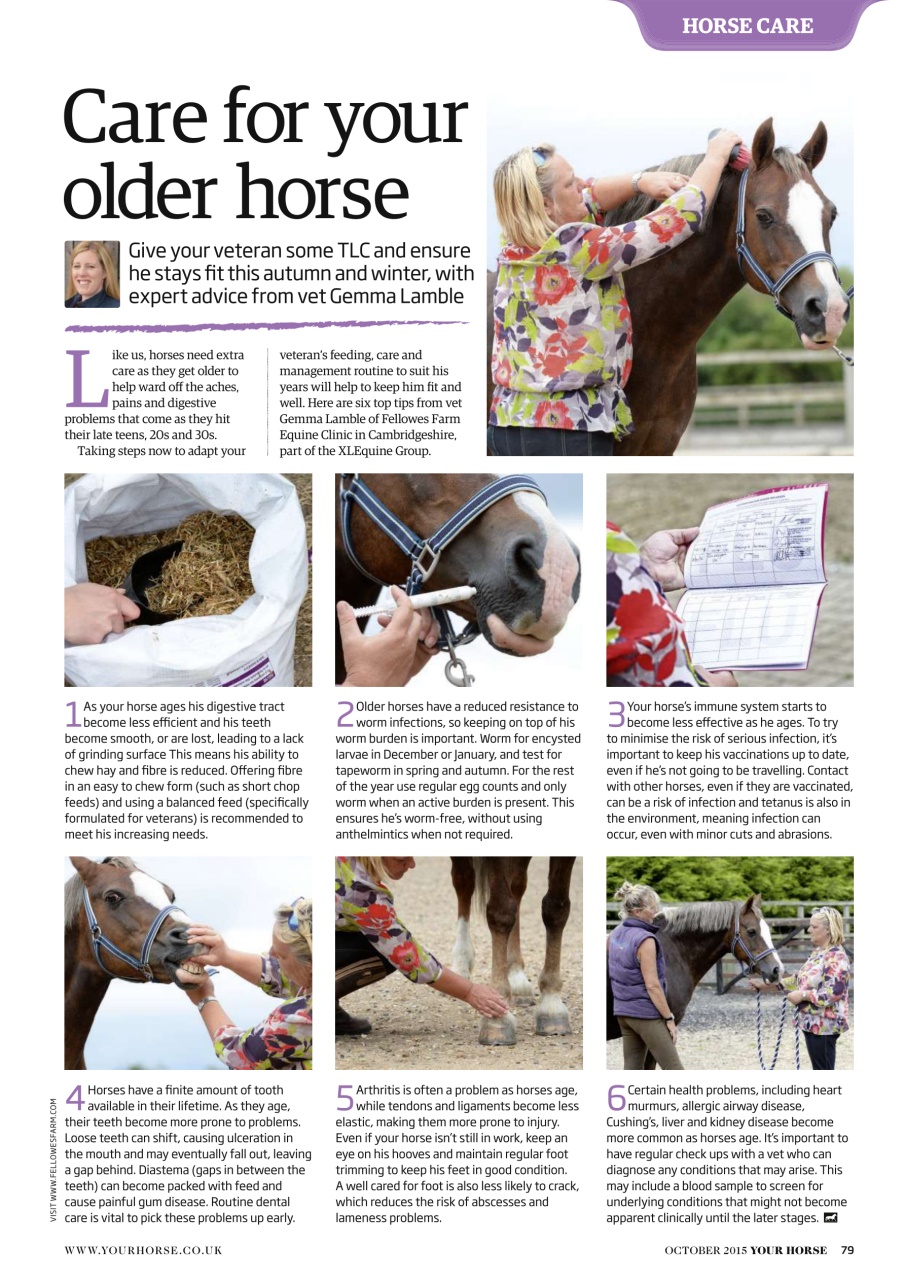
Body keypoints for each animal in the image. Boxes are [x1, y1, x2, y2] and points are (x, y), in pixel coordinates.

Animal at [450, 856, 576, 1046]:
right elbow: (501, 910)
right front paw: (497, 1020)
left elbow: (556, 908)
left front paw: (551, 1004)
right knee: (464, 879)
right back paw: (461, 963)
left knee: (517, 884)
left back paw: (516, 975)